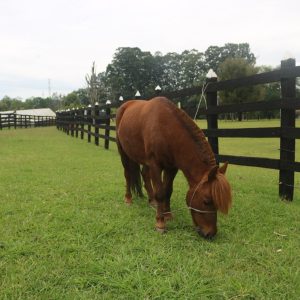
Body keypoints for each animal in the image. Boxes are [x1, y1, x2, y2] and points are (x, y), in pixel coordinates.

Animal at [115, 97, 232, 238]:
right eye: (206, 201)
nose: (210, 233)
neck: (166, 130)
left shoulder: (172, 167)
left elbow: (168, 191)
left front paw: (167, 214)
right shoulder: (155, 165)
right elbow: (160, 193)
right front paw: (160, 223)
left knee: (145, 174)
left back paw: (152, 201)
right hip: (123, 152)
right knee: (128, 174)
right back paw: (128, 199)